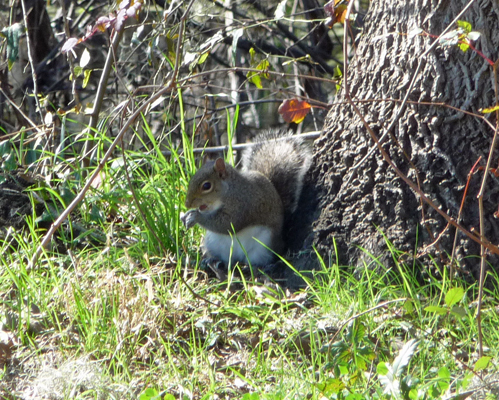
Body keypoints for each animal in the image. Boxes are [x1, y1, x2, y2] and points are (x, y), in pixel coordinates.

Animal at [180, 131, 312, 268]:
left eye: (206, 186)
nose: (187, 204)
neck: (230, 191)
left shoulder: (243, 204)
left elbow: (227, 224)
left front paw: (196, 217)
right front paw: (186, 215)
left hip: (263, 245)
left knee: (259, 259)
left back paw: (255, 266)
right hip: (213, 243)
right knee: (227, 259)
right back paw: (212, 260)